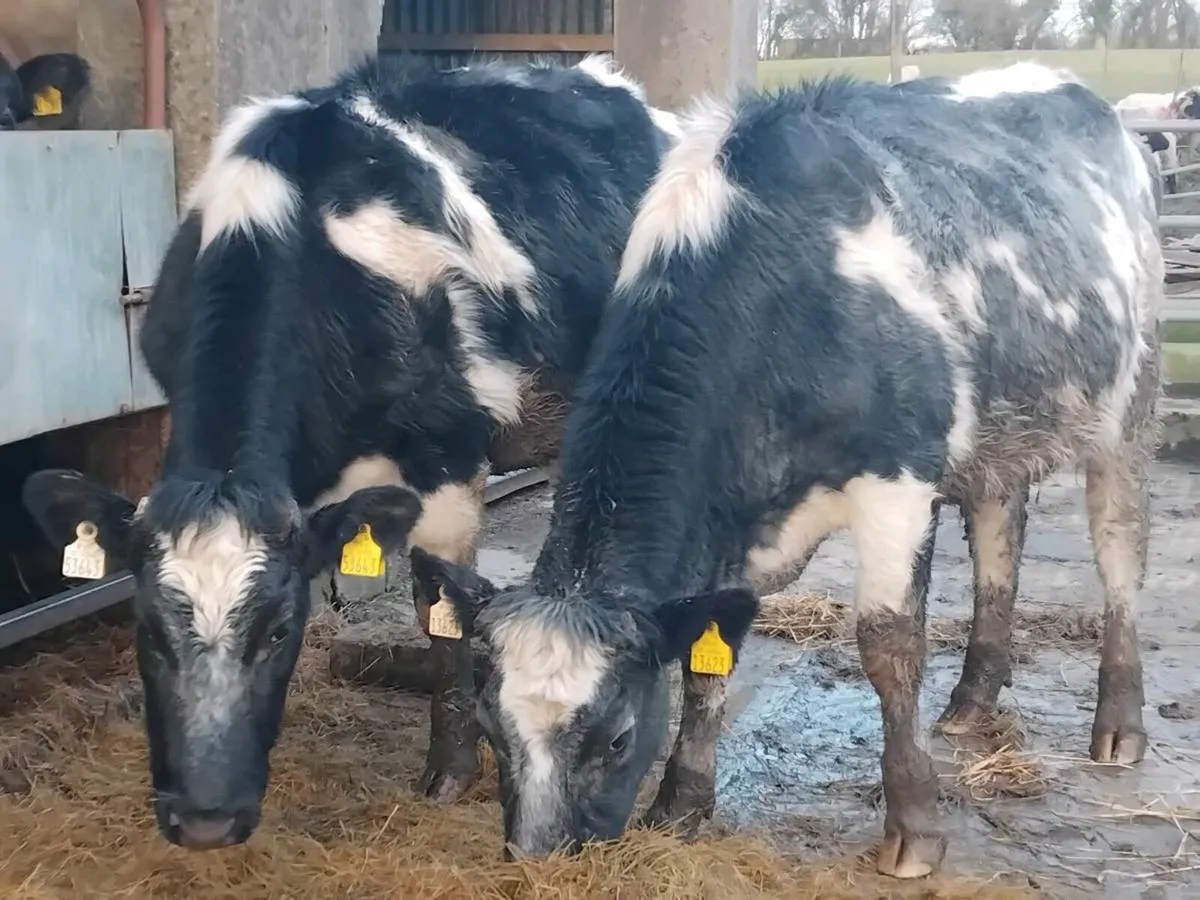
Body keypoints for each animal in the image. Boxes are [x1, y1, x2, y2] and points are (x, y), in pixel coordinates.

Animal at [21, 53, 674, 851]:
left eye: (279, 631)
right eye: (146, 631)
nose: (205, 821)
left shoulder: (446, 457)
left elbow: (438, 608)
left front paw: (449, 773)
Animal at [411, 61, 1163, 877]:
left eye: (616, 738)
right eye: (492, 727)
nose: (536, 858)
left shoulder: (897, 482)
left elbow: (889, 645)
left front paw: (914, 828)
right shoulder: (726, 527)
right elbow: (708, 661)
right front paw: (681, 805)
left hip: (1131, 401)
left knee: (1119, 546)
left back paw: (1119, 723)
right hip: (1004, 427)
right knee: (1001, 530)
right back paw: (970, 703)